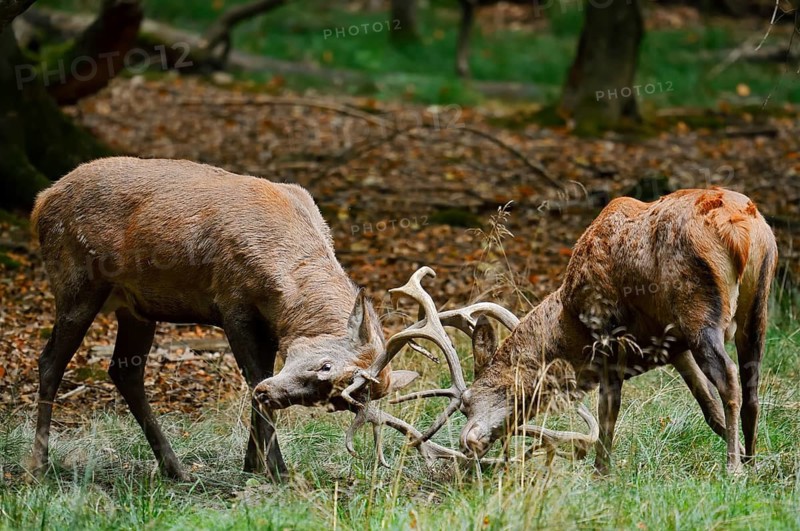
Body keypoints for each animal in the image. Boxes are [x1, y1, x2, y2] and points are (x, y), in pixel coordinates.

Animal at [29, 156, 421, 481]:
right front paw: (277, 470)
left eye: (331, 401)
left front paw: (253, 464)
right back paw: (39, 467)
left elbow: (258, 381)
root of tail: (41, 202)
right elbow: (254, 378)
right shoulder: (233, 305)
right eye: (326, 366)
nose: (274, 395)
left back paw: (175, 469)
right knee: (50, 361)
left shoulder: (272, 326)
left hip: (135, 307)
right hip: (76, 284)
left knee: (124, 370)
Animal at [338, 189, 777, 474]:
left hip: (700, 311)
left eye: (468, 402)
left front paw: (601, 473)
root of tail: (743, 229)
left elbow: (607, 417)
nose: (469, 443)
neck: (567, 327)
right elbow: (708, 410)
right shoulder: (672, 347)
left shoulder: (609, 341)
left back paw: (733, 469)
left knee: (730, 378)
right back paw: (753, 460)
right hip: (756, 309)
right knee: (751, 383)